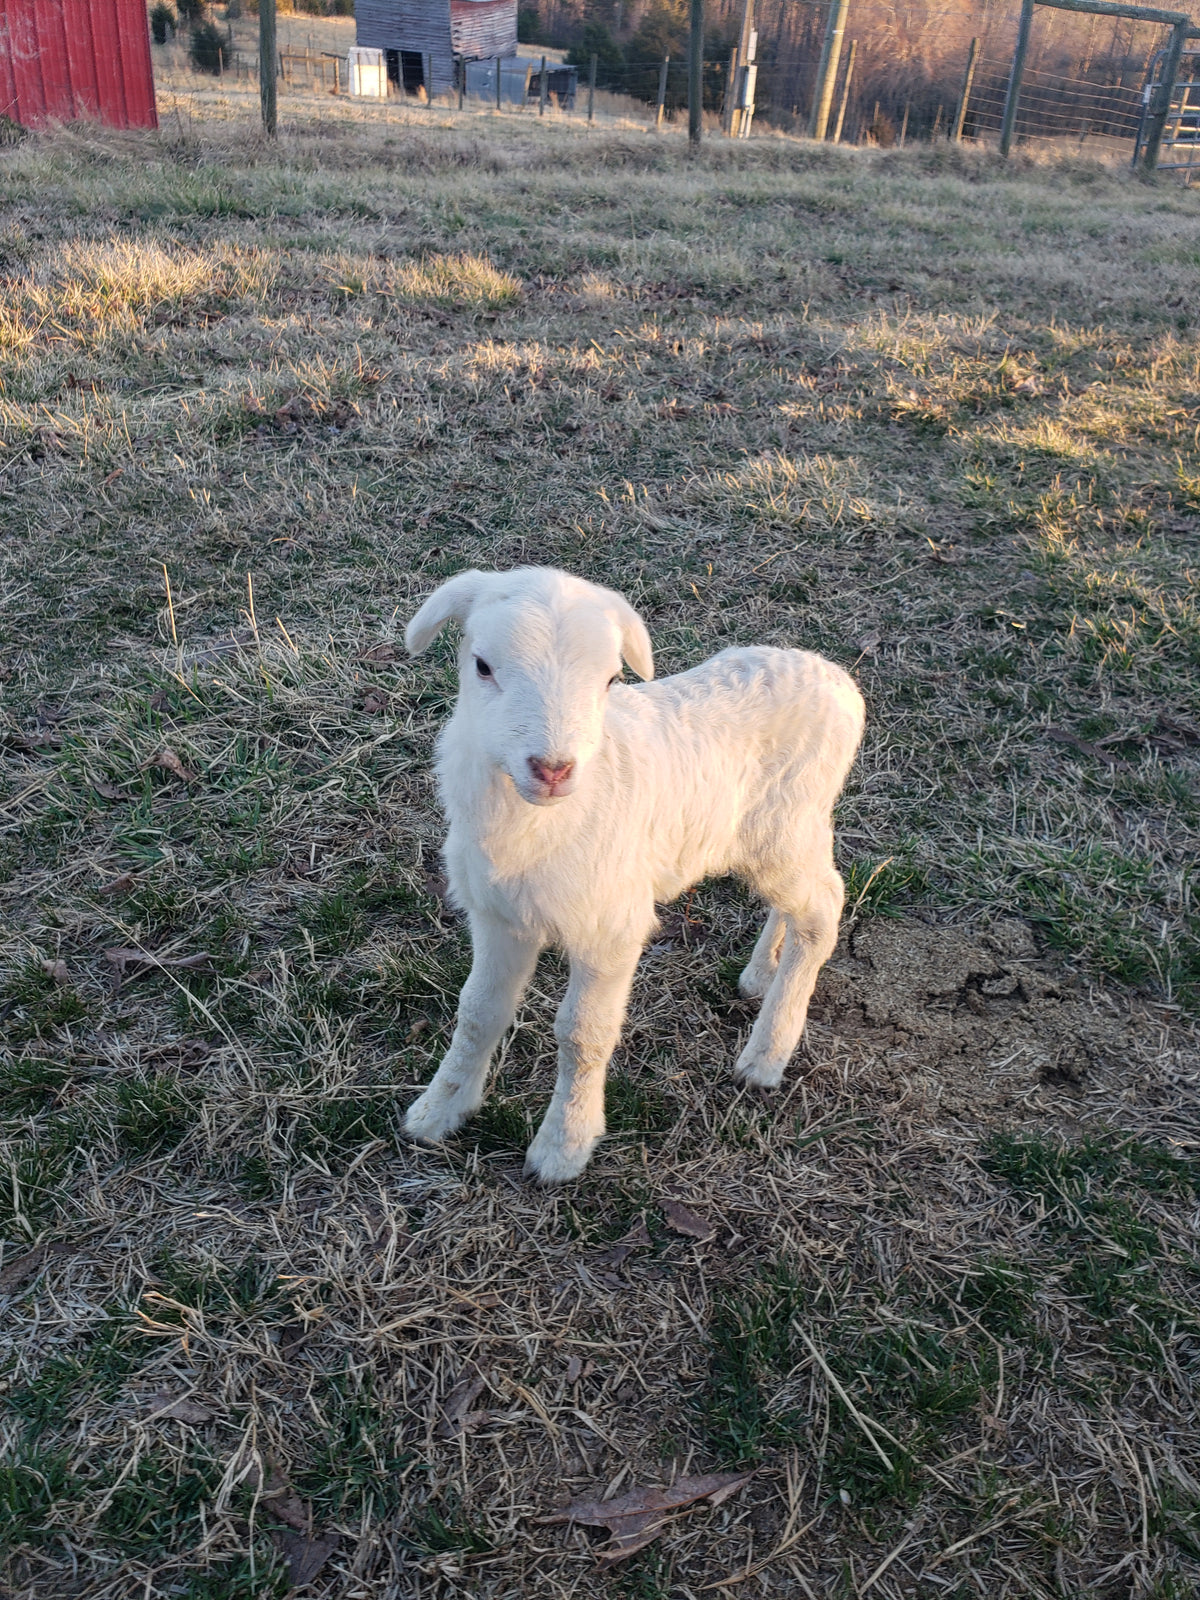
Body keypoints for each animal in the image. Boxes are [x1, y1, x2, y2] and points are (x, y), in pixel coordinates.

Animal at [402, 565, 865, 1183]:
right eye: (482, 666)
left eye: (611, 679)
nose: (553, 769)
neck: (537, 822)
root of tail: (837, 680)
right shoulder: (500, 915)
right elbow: (478, 1011)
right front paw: (439, 1110)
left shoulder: (611, 927)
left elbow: (582, 1034)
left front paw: (563, 1146)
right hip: (777, 837)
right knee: (797, 899)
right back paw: (761, 974)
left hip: (786, 825)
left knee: (824, 907)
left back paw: (767, 1053)